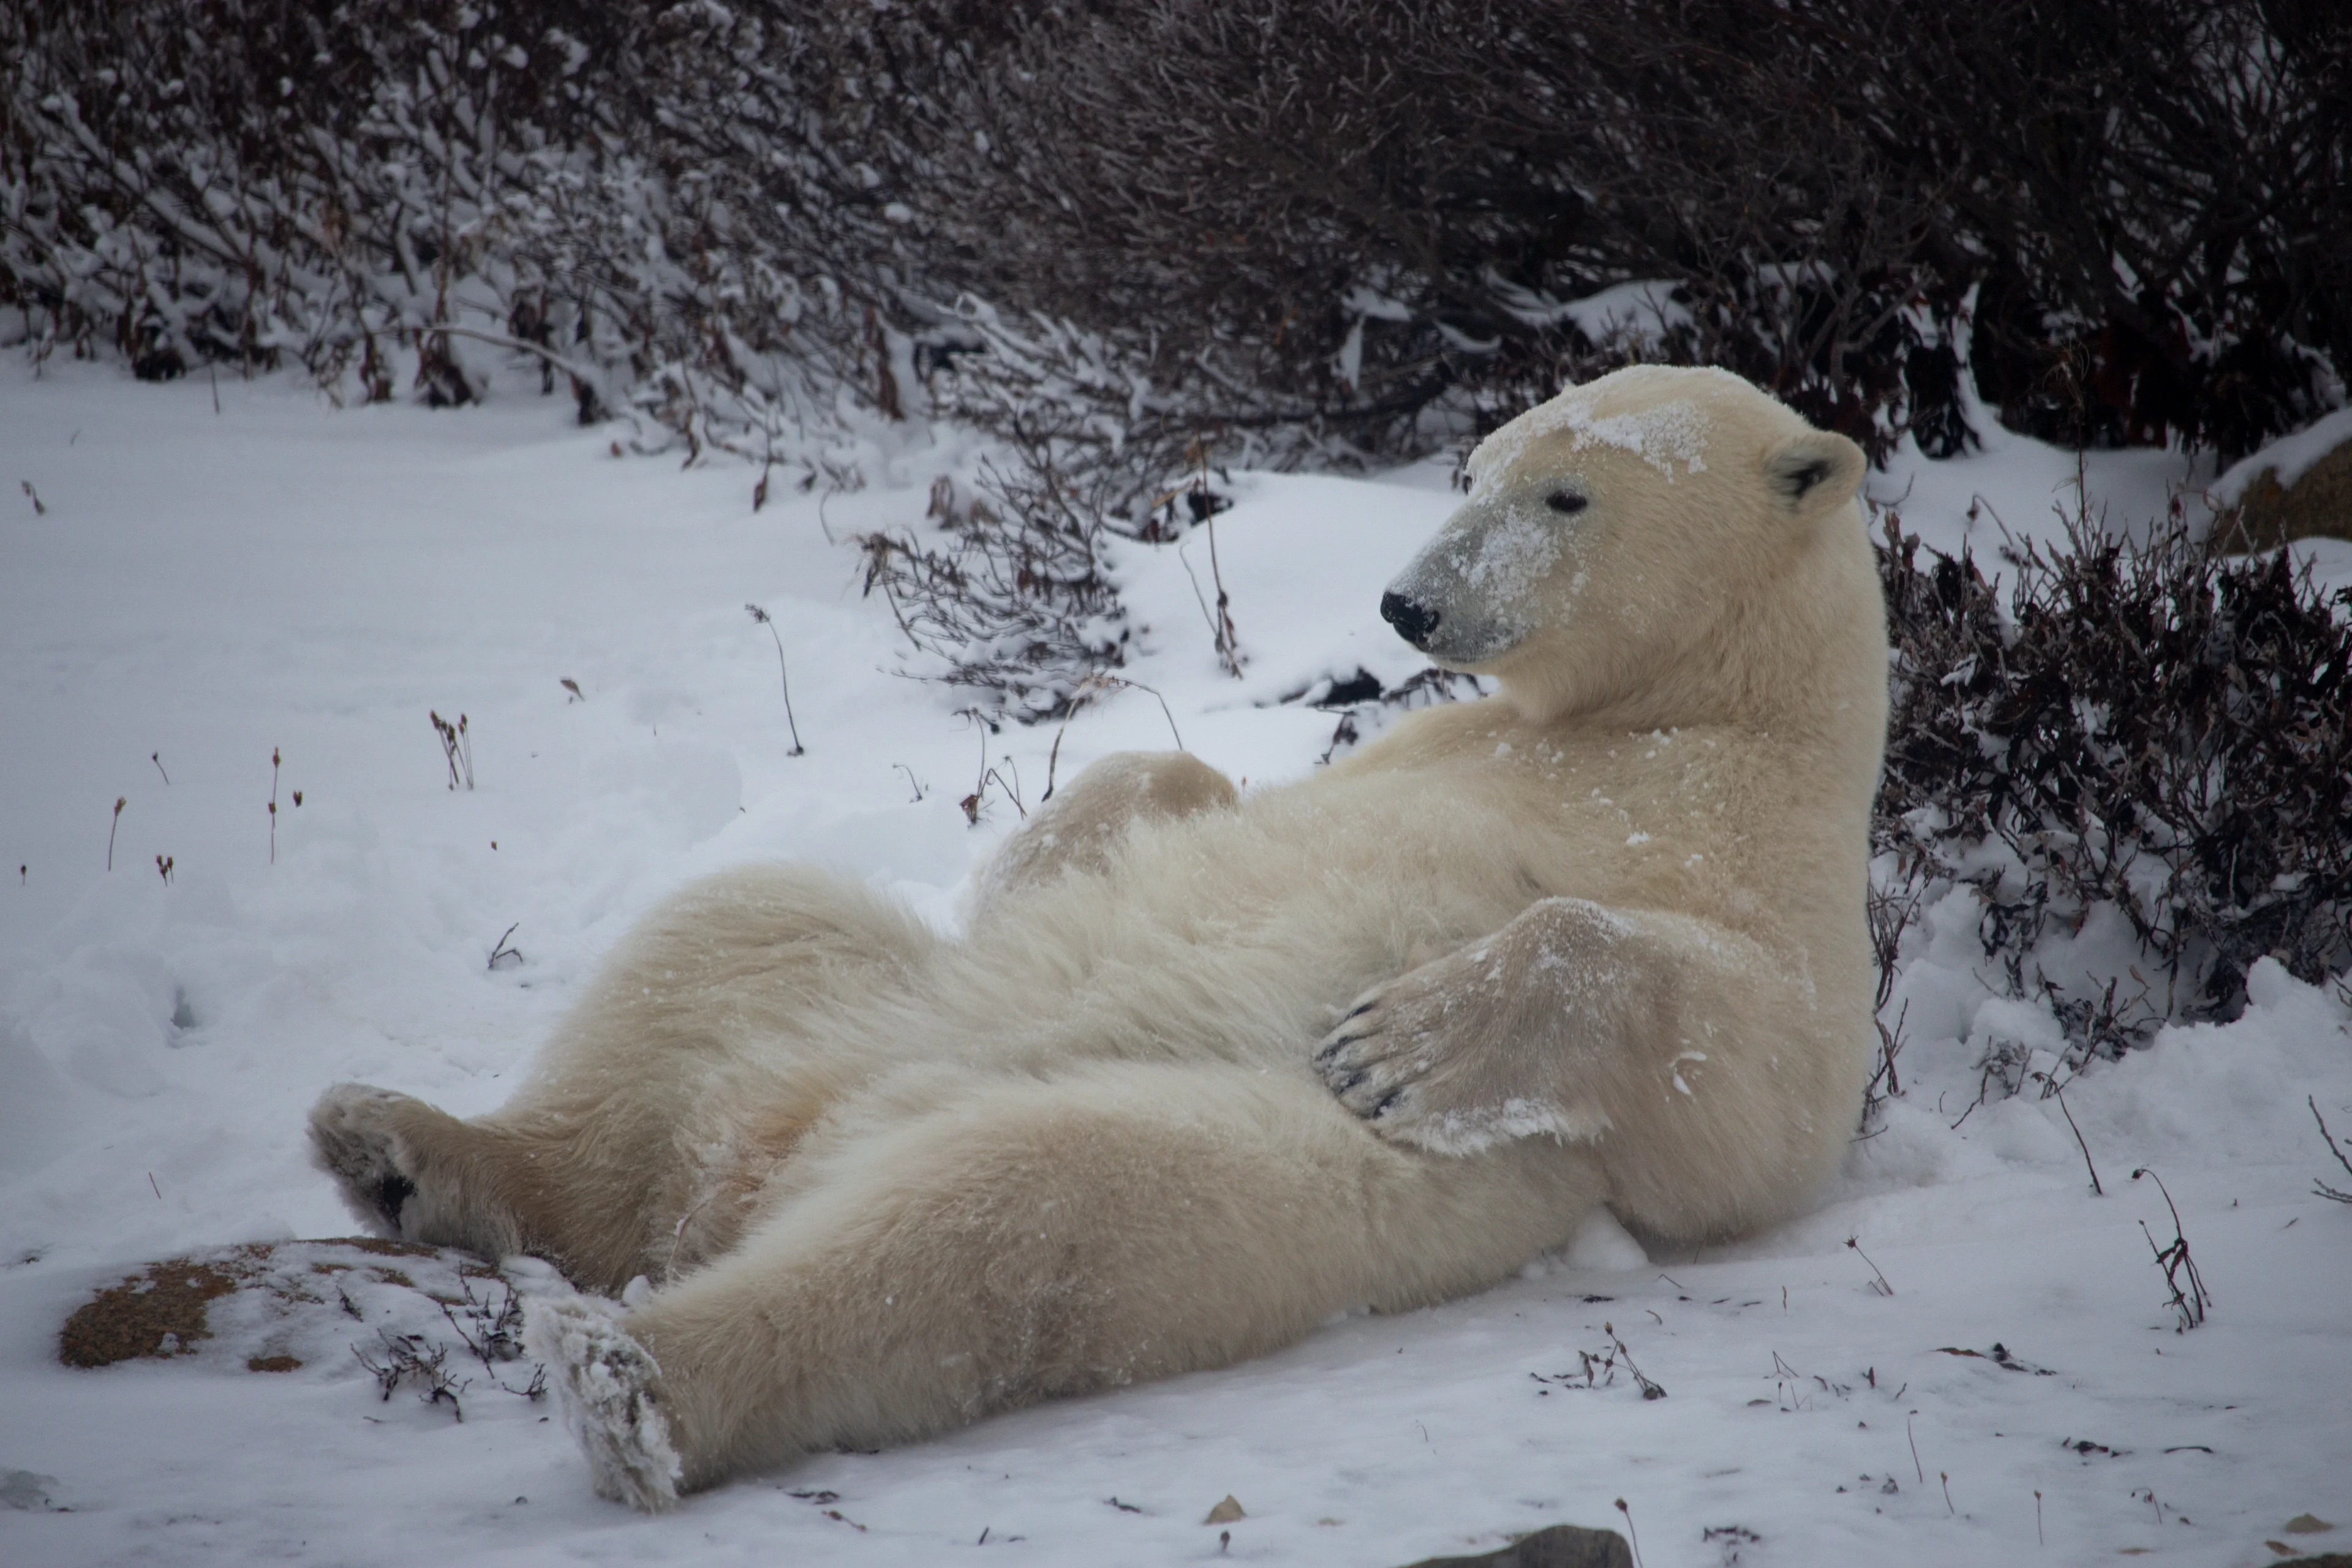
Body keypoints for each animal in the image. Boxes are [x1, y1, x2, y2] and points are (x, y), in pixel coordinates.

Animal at [306, 364, 1887, 1510]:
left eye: (1567, 493)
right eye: (1475, 467)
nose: (1409, 600)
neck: (1691, 718)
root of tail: (746, 1164)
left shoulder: (1776, 874)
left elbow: (1748, 1108)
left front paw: (1404, 1042)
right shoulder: (1452, 744)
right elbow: (1180, 788)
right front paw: (1068, 847)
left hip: (1217, 1160)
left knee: (1003, 1207)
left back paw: (625, 1371)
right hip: (833, 1006)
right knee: (726, 935)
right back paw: (407, 1147)